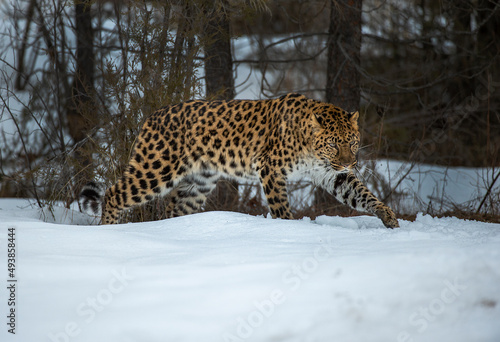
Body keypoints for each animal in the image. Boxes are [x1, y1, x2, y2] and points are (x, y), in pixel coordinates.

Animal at [81, 92, 398, 228]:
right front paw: (290, 229)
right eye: (333, 144)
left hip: (198, 183)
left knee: (172, 209)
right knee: (114, 194)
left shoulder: (332, 174)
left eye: (352, 143)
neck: (311, 148)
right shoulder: (271, 168)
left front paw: (388, 216)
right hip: (156, 168)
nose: (348, 163)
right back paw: (107, 230)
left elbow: (362, 194)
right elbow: (281, 206)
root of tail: (152, 116)